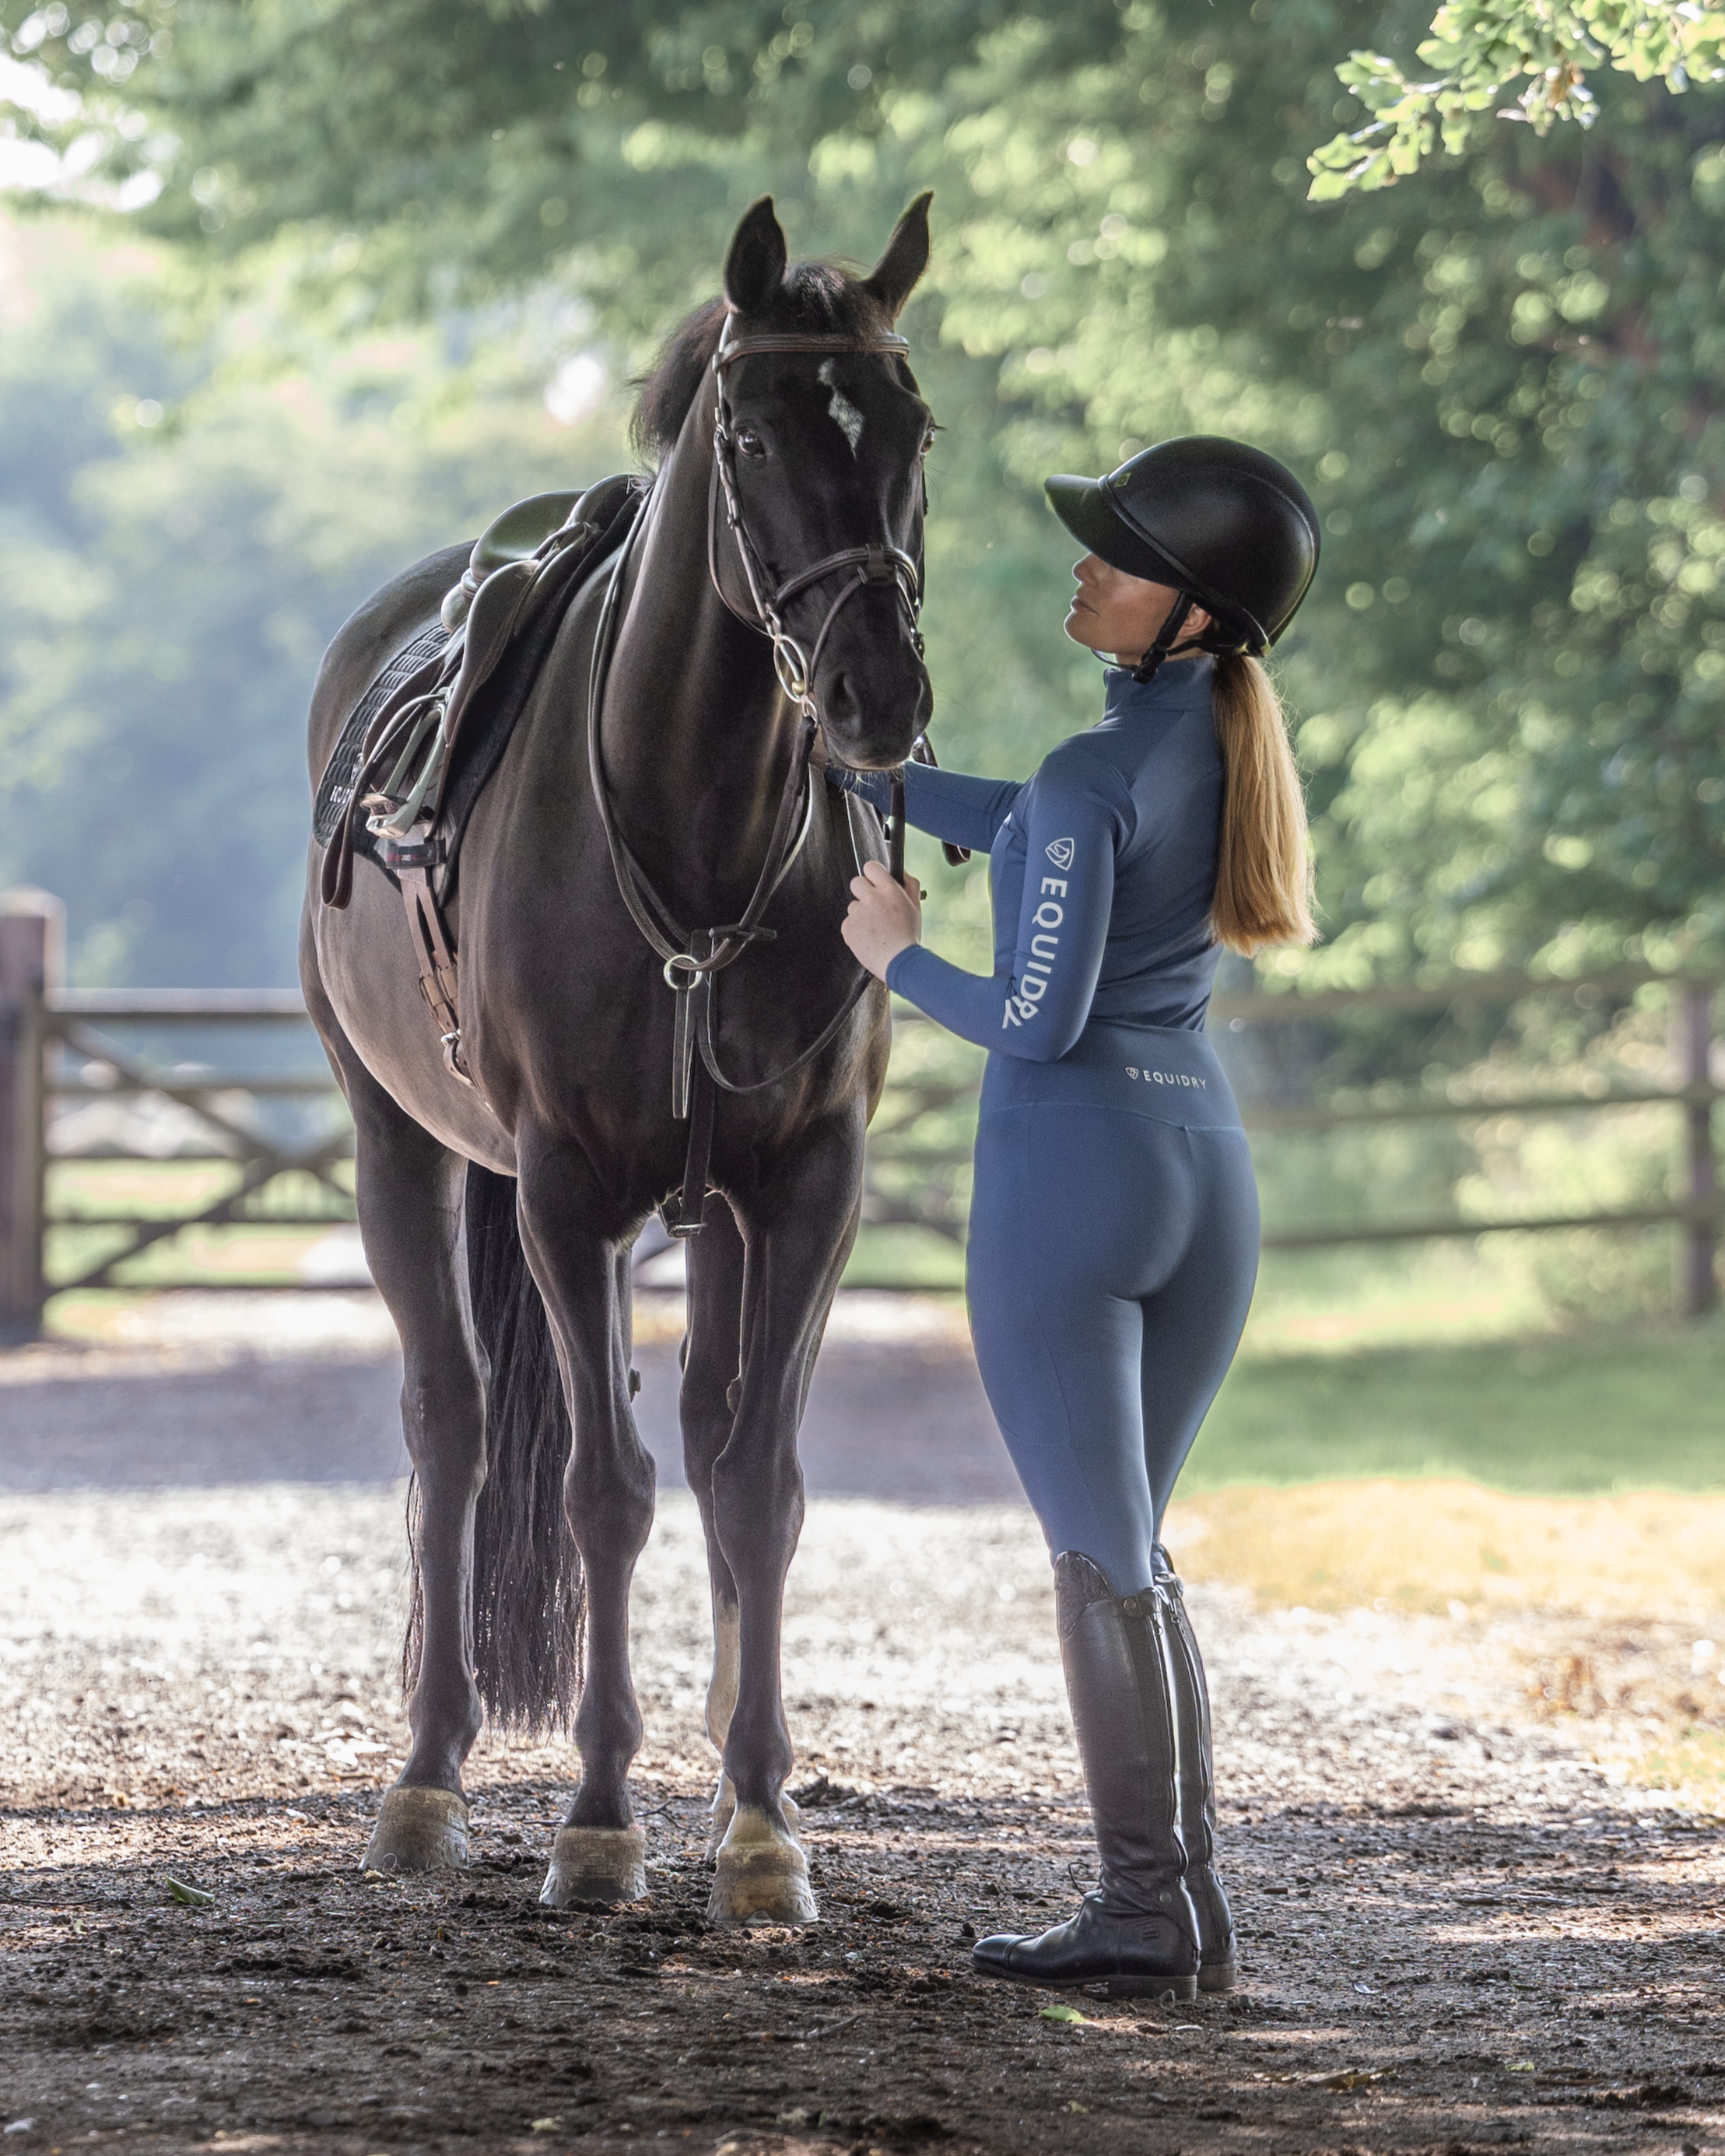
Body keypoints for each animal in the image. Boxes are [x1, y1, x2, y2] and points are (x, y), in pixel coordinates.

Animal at [298, 194, 935, 1925]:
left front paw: (761, 1821)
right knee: (450, 1426)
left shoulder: (805, 1185)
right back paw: (428, 1780)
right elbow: (602, 1487)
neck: (691, 826)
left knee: (713, 1433)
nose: (879, 692)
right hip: (401, 1145)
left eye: (912, 426)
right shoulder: (568, 1192)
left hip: (710, 1209)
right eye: (754, 434)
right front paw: (595, 1817)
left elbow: (758, 1480)